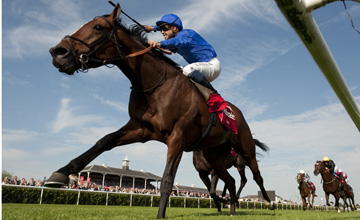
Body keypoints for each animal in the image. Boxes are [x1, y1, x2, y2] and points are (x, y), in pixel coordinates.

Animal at [46, 4, 270, 218]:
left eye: (98, 27)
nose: (58, 52)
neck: (155, 85)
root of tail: (237, 113)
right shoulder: (140, 129)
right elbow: (103, 141)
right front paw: (59, 174)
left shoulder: (177, 137)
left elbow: (167, 181)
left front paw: (161, 215)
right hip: (214, 155)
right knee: (230, 181)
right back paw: (231, 208)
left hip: (245, 149)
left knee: (255, 176)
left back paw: (268, 201)